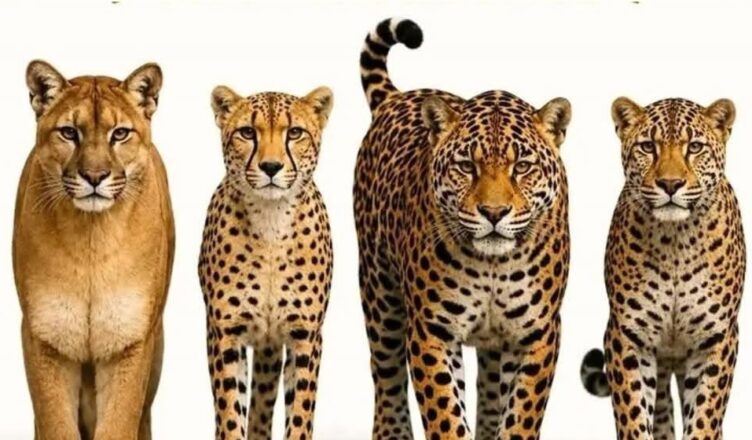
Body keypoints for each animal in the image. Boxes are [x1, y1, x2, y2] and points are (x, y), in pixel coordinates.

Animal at [13, 60, 174, 440]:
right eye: (69, 132)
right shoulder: (45, 338)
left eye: (120, 133)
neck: (92, 238)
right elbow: (55, 425)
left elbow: (119, 424)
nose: (95, 176)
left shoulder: (131, 341)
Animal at [199, 84, 334, 440]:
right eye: (247, 132)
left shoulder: (305, 335)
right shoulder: (225, 333)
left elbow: (300, 412)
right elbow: (230, 412)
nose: (270, 167)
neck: (271, 220)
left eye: (294, 133)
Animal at [354, 18, 572, 440]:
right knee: (385, 375)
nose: (493, 212)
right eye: (466, 166)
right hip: (379, 291)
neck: (493, 267)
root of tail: (397, 97)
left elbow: (519, 414)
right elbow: (445, 414)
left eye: (522, 167)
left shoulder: (538, 334)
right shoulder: (431, 330)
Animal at [580, 97, 745, 440]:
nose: (670, 184)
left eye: (694, 147)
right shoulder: (627, 337)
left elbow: (705, 417)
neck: (676, 242)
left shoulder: (717, 339)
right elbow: (633, 415)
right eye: (648, 146)